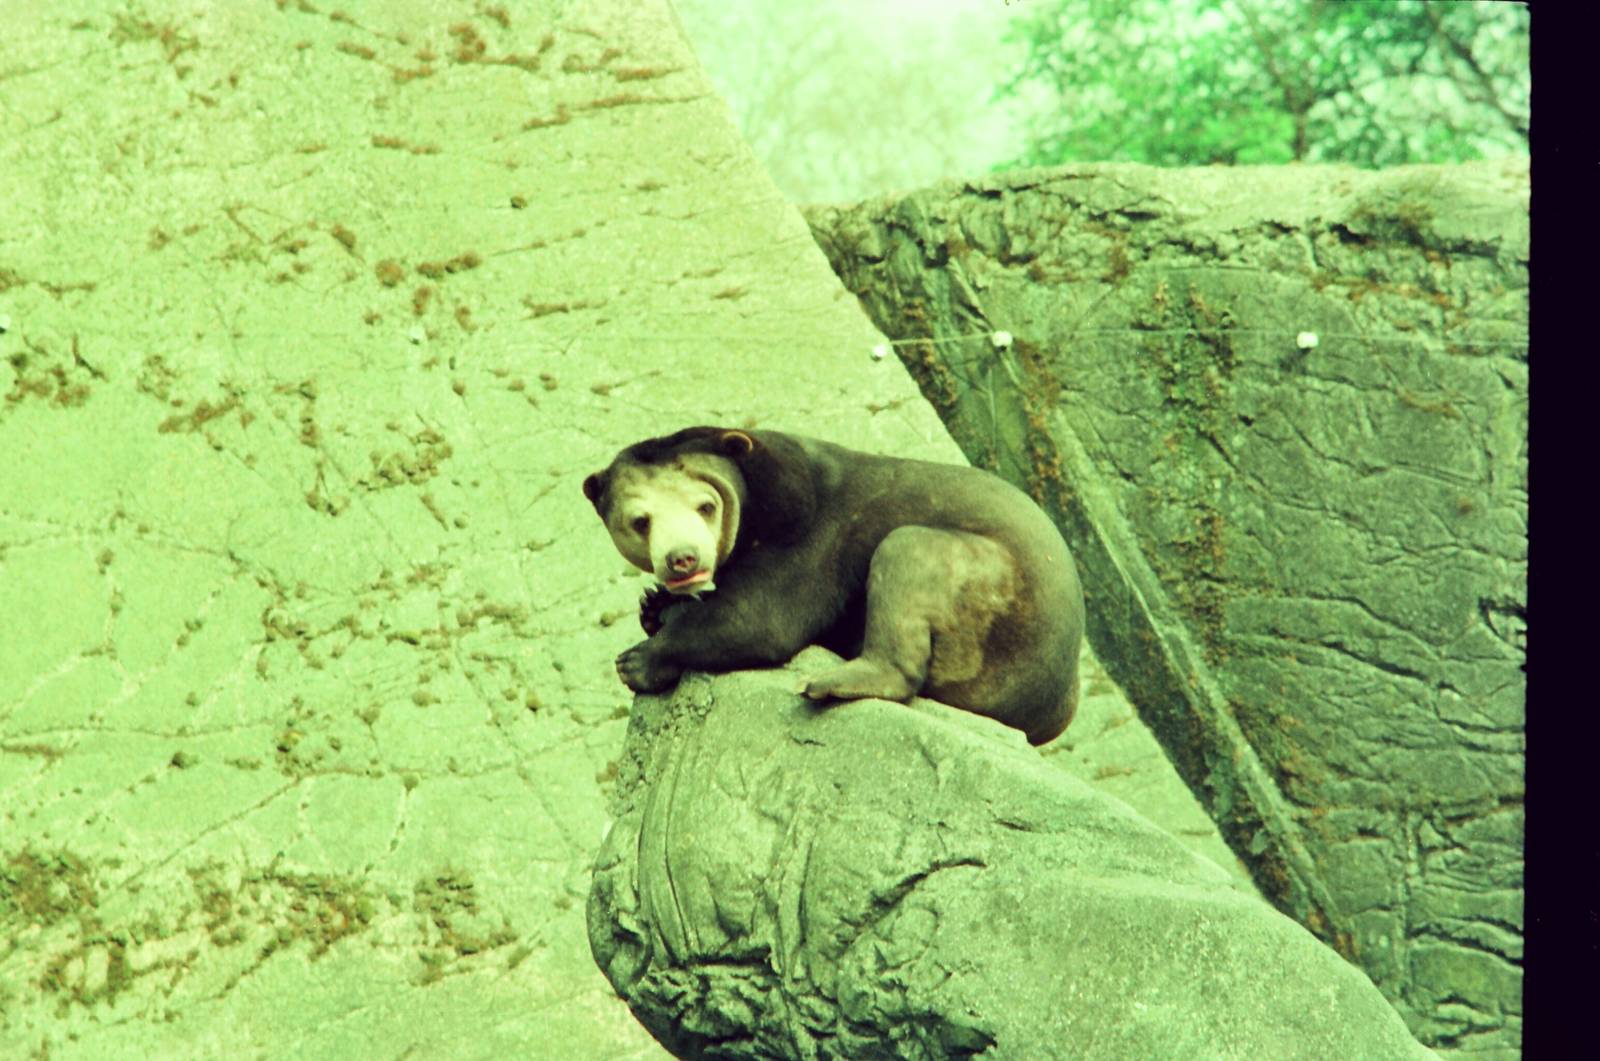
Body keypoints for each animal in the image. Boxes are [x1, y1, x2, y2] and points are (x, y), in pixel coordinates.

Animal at [582, 427, 1085, 746]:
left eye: (705, 507)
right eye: (640, 521)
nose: (683, 560)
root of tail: (1057, 703)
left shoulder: (806, 529)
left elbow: (761, 618)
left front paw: (638, 661)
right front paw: (655, 605)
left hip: (994, 605)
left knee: (909, 553)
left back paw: (831, 682)